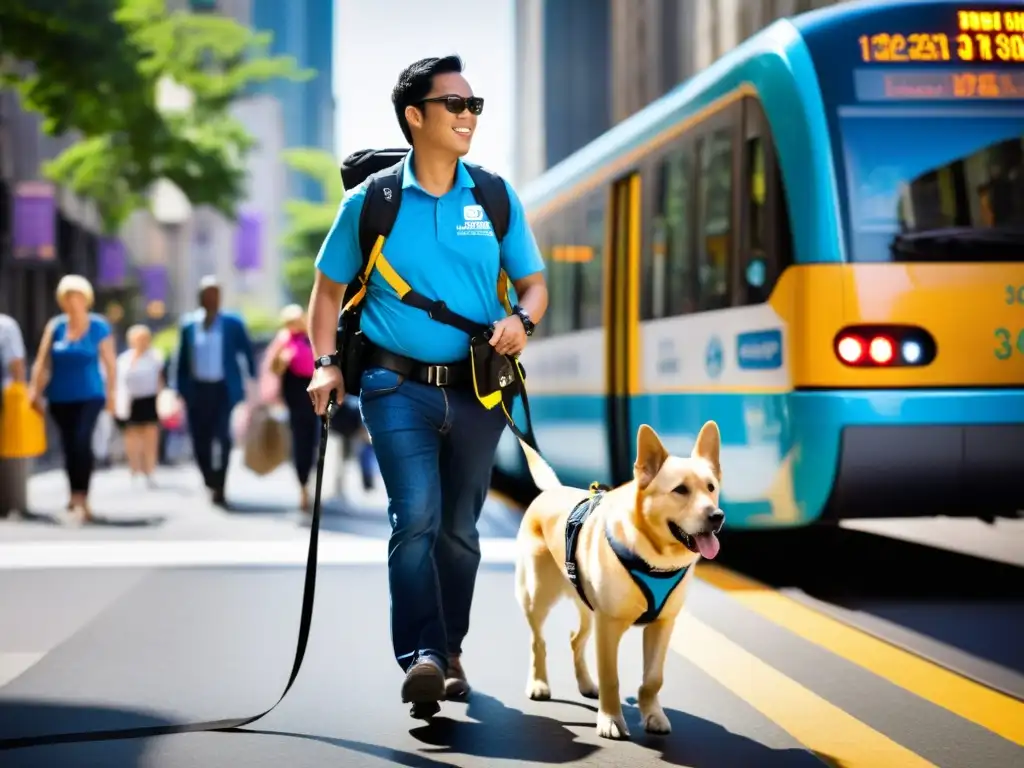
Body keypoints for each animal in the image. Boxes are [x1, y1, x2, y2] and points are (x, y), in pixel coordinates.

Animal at [512, 423, 720, 741]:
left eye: (711, 488)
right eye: (680, 490)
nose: (717, 516)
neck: (656, 557)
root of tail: (552, 490)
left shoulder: (663, 624)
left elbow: (653, 679)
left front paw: (653, 715)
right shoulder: (608, 626)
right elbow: (611, 677)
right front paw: (610, 720)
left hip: (586, 607)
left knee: (575, 639)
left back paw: (586, 684)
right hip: (537, 596)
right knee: (538, 641)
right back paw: (539, 683)